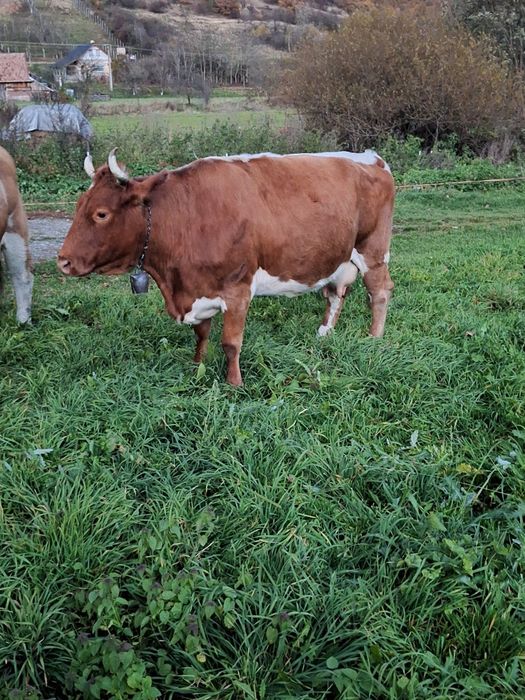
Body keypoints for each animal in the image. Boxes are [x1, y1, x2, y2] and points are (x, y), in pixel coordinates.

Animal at [58, 149, 395, 385]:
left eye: (101, 214)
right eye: (78, 205)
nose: (63, 261)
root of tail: (371, 158)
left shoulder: (237, 290)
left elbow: (231, 343)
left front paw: (234, 383)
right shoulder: (198, 288)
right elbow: (201, 333)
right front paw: (197, 364)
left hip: (372, 250)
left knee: (380, 291)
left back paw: (375, 338)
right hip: (339, 255)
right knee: (336, 293)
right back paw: (325, 332)